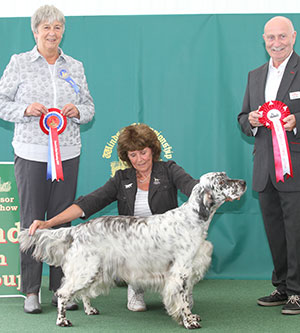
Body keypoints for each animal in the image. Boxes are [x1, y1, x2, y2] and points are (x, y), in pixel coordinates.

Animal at [19, 172, 247, 328]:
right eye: (222, 182)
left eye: (227, 177)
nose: (244, 183)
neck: (193, 218)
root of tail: (78, 228)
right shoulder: (180, 272)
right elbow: (182, 301)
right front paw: (189, 322)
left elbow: (186, 302)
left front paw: (191, 316)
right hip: (86, 269)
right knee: (63, 292)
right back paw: (62, 321)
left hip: (94, 270)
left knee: (82, 293)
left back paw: (90, 309)